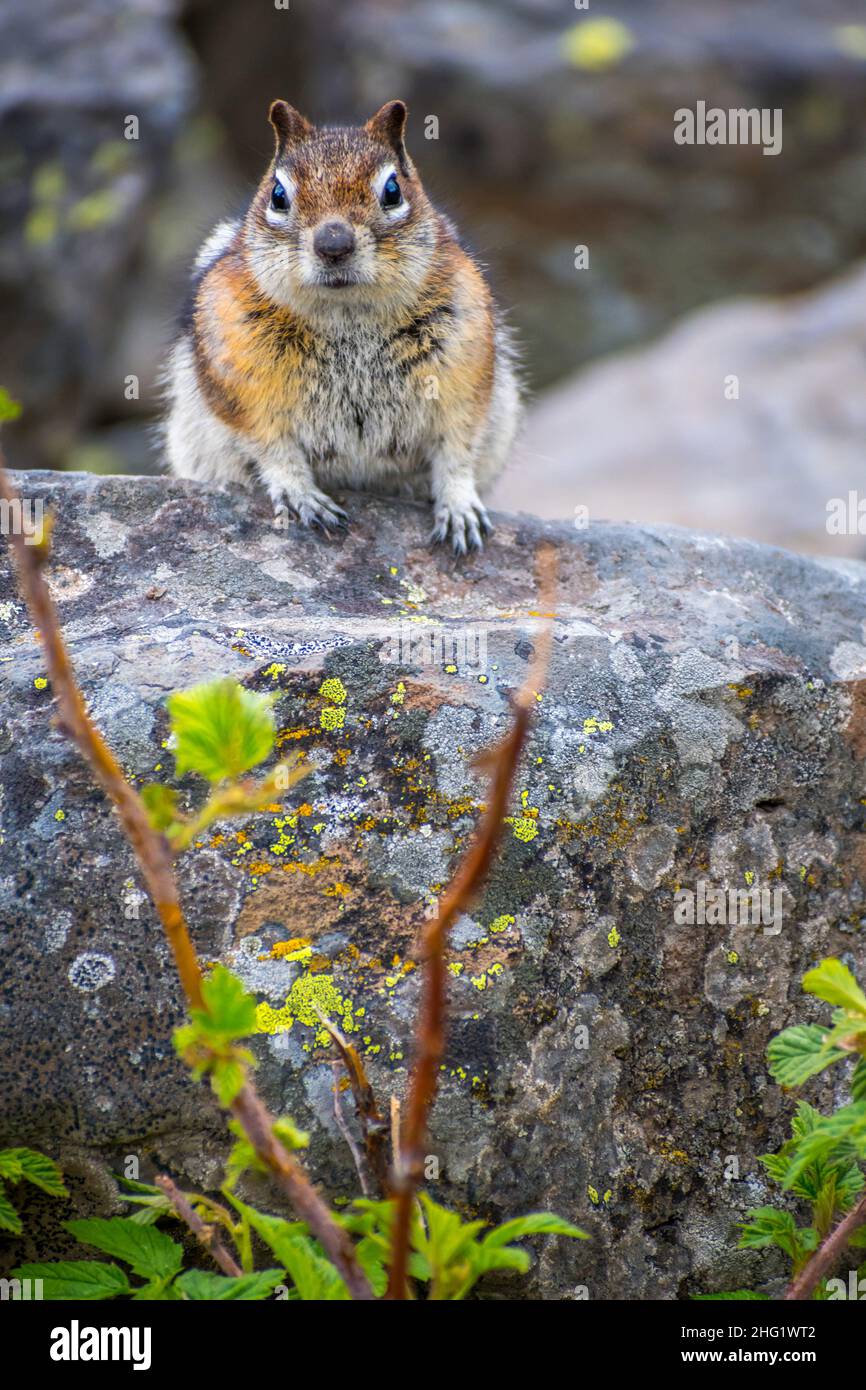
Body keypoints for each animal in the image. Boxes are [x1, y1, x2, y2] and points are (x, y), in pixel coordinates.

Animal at [163, 100, 521, 553]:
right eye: (278, 196)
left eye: (392, 191)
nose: (333, 243)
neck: (346, 316)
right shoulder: (241, 387)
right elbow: (271, 447)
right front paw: (301, 495)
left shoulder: (462, 377)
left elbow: (457, 448)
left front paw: (459, 507)